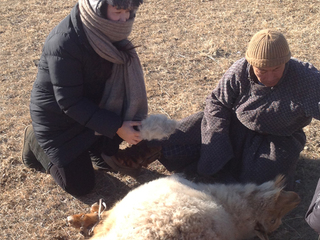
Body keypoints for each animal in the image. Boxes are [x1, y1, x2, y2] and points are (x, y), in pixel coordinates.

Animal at [67, 174, 300, 240]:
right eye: (273, 219)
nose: (296, 197)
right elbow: (102, 215)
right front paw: (82, 219)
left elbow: (103, 216)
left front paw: (83, 219)